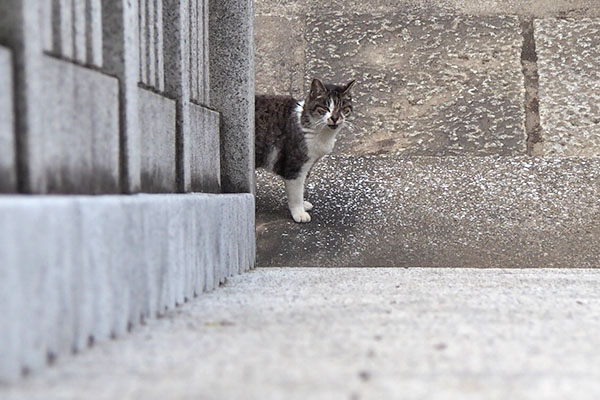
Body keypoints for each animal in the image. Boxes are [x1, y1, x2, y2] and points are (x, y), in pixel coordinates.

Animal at [254, 77, 356, 222]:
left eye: (343, 108)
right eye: (324, 108)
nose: (335, 118)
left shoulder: (308, 164)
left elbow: (302, 188)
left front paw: (303, 205)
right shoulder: (295, 166)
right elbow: (296, 193)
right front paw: (299, 213)